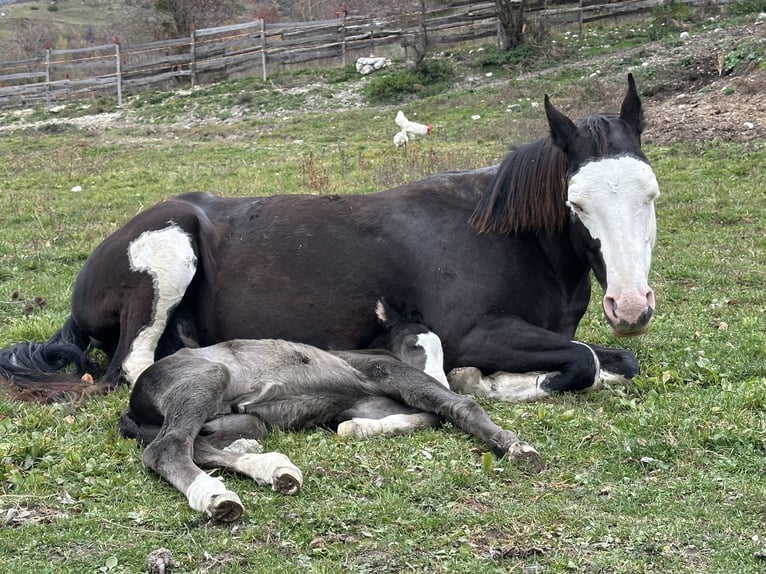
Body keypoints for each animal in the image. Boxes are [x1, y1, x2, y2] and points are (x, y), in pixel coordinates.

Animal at [0, 74, 659, 405]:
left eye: (652, 195)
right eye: (576, 204)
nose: (630, 307)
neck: (504, 238)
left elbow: (612, 360)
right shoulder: (473, 332)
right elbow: (580, 360)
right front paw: (489, 382)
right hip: (169, 252)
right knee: (131, 370)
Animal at [119, 300, 541, 522]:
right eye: (413, 344)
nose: (442, 376)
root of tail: (134, 403)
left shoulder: (370, 401)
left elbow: (429, 415)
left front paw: (356, 429)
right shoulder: (385, 370)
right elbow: (455, 406)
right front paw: (516, 447)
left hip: (245, 419)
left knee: (200, 444)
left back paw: (273, 468)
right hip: (206, 377)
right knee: (167, 447)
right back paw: (216, 496)